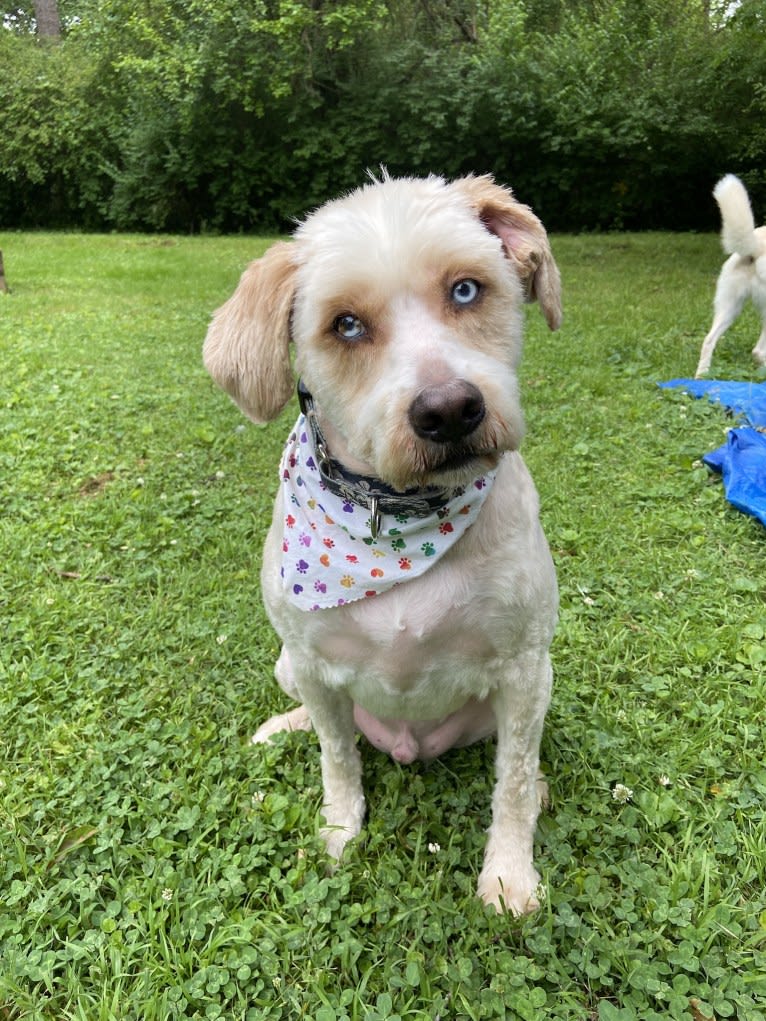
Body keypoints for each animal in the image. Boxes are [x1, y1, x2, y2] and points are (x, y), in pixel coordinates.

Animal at [204, 175, 563, 918]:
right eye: (345, 325)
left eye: (466, 289)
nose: (450, 410)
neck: (395, 517)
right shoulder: (313, 666)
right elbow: (337, 756)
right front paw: (340, 830)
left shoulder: (523, 668)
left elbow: (512, 780)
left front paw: (509, 873)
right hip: (286, 664)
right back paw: (283, 728)